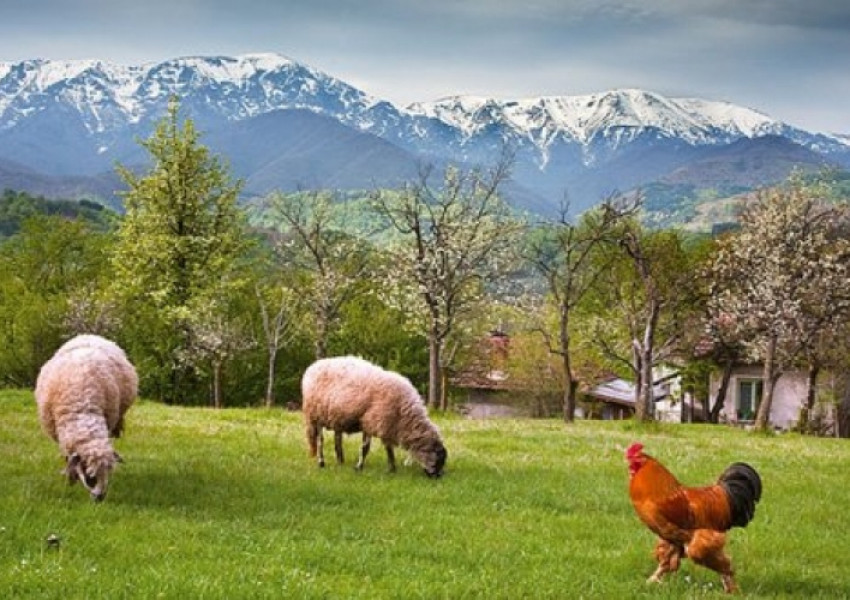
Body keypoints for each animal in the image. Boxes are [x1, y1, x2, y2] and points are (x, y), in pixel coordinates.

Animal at [35, 332, 138, 502]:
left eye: (108, 474)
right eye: (91, 477)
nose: (99, 499)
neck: (80, 408)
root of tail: (90, 334)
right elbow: (69, 459)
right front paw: (71, 476)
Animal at [302, 356, 448, 478]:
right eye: (438, 458)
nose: (437, 477)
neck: (403, 415)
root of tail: (314, 366)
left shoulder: (382, 424)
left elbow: (385, 448)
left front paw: (391, 468)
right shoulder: (373, 422)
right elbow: (368, 448)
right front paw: (361, 467)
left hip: (336, 417)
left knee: (337, 440)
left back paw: (340, 461)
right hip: (315, 415)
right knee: (320, 441)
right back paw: (321, 462)